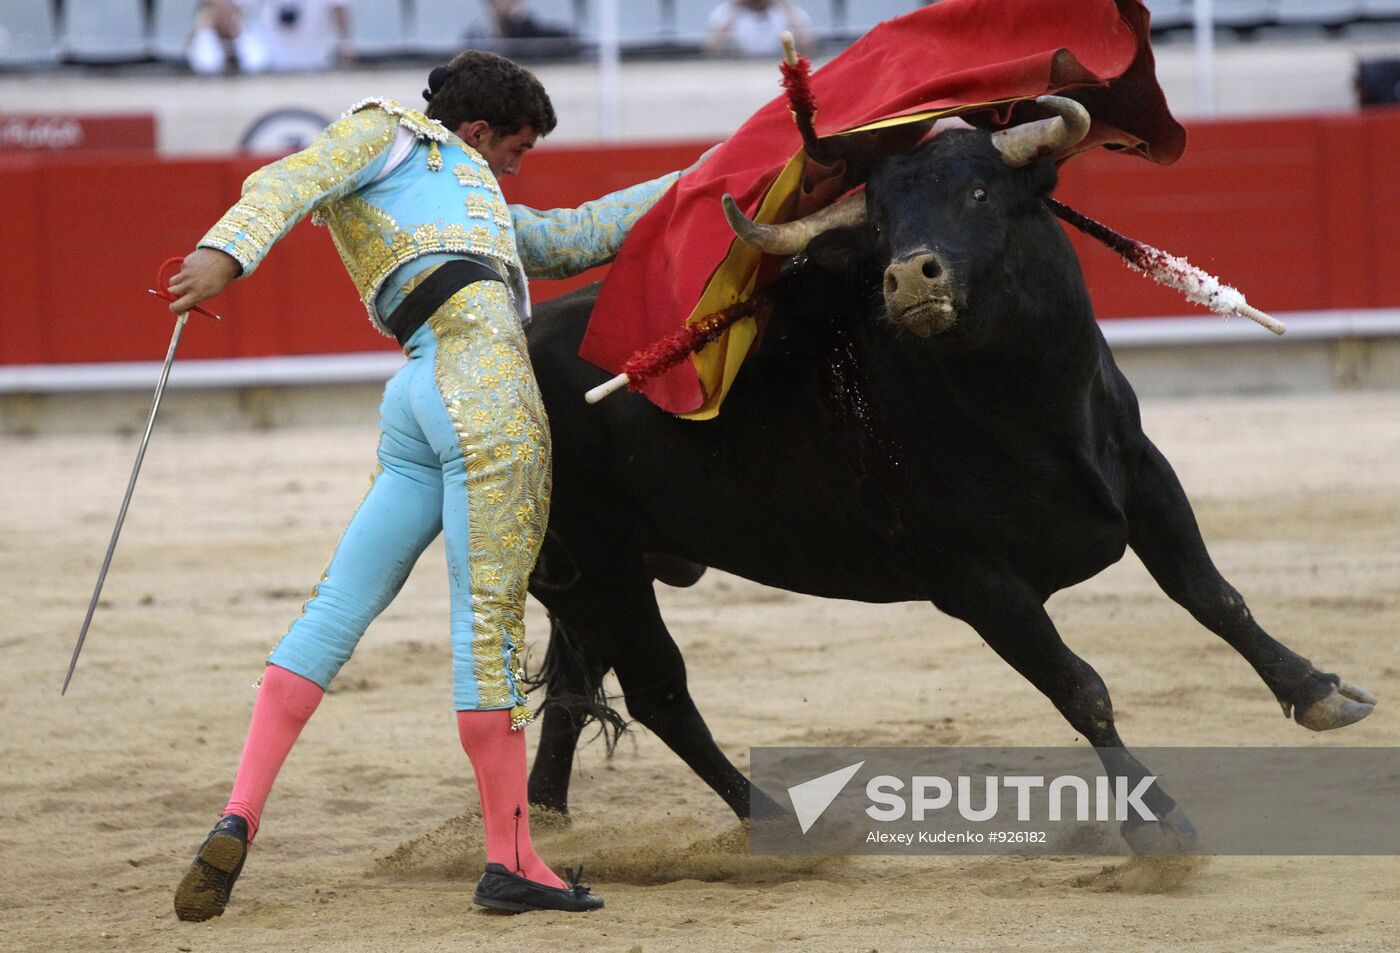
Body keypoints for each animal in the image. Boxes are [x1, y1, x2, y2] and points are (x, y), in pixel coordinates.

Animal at [520, 124, 1372, 845]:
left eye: (980, 193)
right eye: (880, 226)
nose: (907, 276)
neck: (1030, 405)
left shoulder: (1144, 476)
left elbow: (1215, 596)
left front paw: (1321, 691)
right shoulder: (974, 580)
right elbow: (1080, 685)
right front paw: (1156, 825)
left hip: (600, 573)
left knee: (578, 680)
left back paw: (548, 812)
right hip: (602, 565)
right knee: (661, 690)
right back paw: (784, 827)